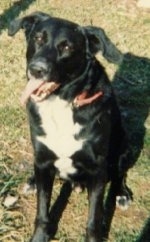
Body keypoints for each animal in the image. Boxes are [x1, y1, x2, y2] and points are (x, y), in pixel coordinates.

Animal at [8, 12, 132, 242]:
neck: (61, 103)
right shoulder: (43, 159)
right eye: (38, 38)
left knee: (119, 173)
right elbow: (42, 211)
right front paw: (40, 236)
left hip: (123, 144)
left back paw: (122, 194)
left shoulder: (97, 168)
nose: (36, 69)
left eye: (66, 47)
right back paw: (32, 181)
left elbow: (94, 218)